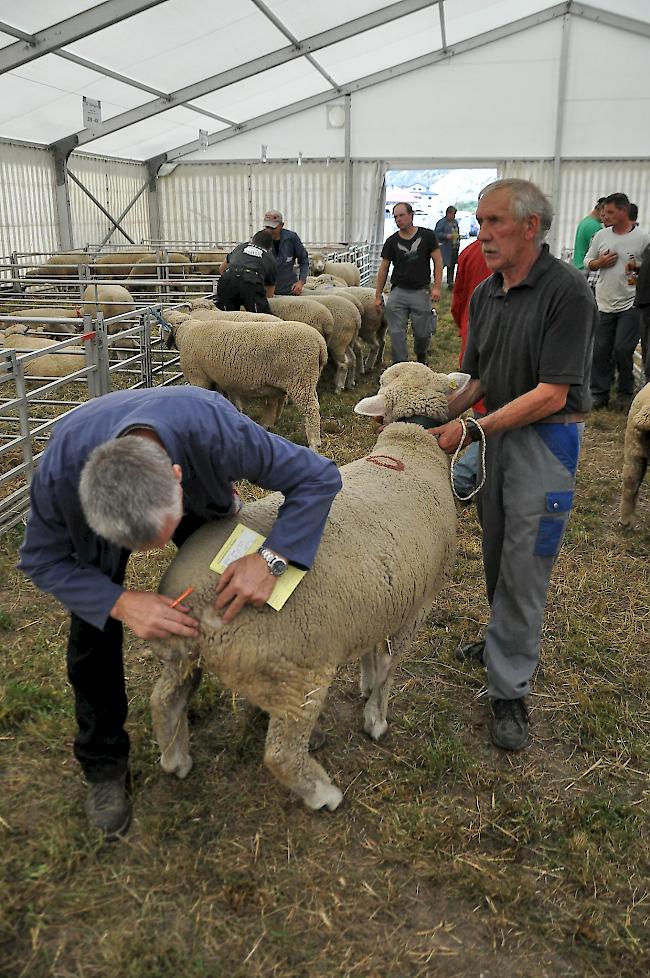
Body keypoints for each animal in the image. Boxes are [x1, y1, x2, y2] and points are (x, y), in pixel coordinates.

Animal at [148, 362, 460, 812]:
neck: (409, 450)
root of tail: (197, 599)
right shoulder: (417, 603)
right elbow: (389, 665)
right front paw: (376, 717)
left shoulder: (383, 595)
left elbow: (371, 651)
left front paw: (366, 683)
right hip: (296, 674)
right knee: (280, 752)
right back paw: (323, 793)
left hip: (183, 654)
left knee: (163, 699)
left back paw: (176, 760)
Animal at [167, 314, 326, 448]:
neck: (184, 333)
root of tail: (320, 343)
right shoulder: (223, 380)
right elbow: (230, 399)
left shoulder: (198, 377)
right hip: (308, 380)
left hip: (300, 379)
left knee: (310, 409)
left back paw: (314, 444)